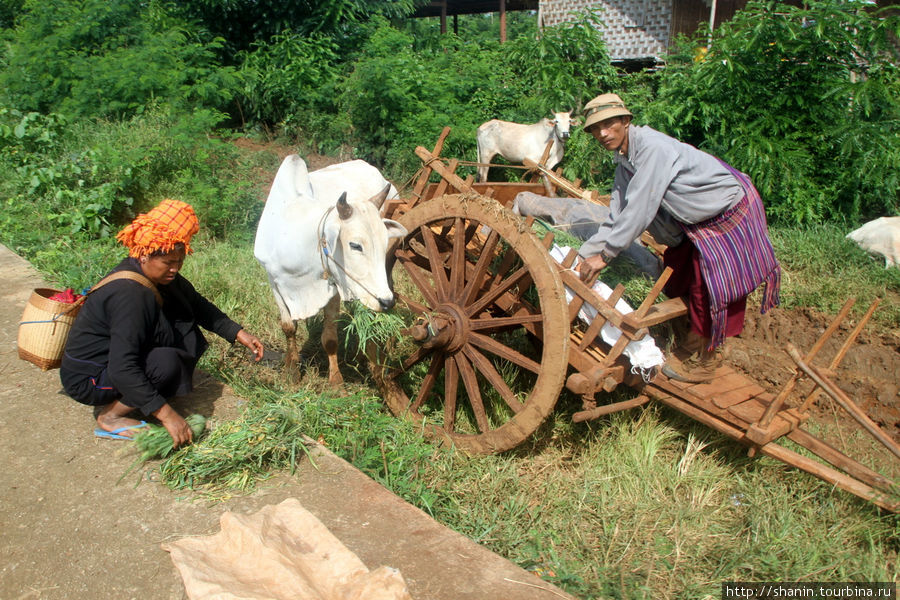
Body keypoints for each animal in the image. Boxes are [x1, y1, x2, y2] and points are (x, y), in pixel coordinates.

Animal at [253, 158, 408, 384]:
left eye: (384, 242)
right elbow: (288, 327)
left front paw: (336, 381)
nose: (386, 302)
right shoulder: (274, 281)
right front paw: (292, 370)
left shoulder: (333, 288)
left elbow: (330, 339)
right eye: (355, 245)